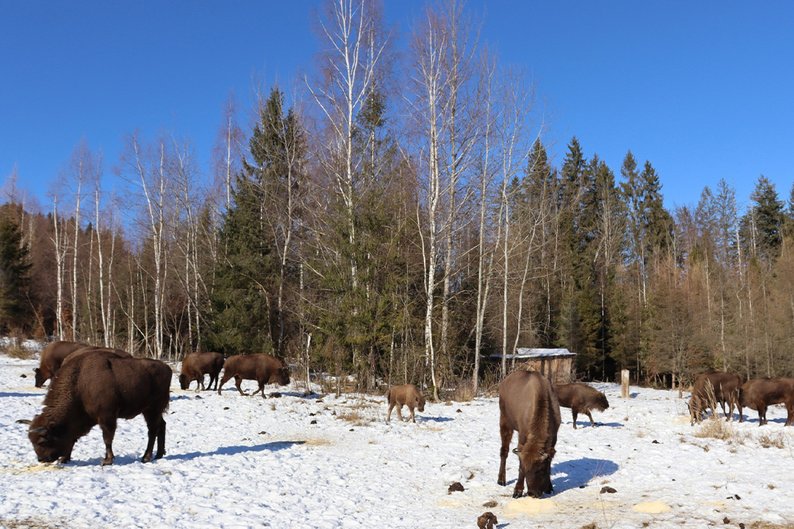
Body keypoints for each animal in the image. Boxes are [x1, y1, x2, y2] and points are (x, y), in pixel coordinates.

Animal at [28, 349, 171, 465]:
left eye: (42, 442)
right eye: (31, 441)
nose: (41, 459)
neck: (79, 384)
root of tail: (167, 368)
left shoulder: (106, 417)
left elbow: (107, 438)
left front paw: (107, 460)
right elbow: (73, 439)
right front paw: (64, 459)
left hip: (152, 410)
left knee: (152, 431)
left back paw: (146, 457)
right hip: (152, 411)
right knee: (162, 425)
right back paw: (159, 454)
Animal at [498, 370, 561, 498]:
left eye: (540, 469)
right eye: (526, 469)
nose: (532, 493)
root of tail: (505, 382)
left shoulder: (553, 440)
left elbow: (550, 462)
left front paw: (549, 487)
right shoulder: (522, 438)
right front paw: (517, 491)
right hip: (505, 423)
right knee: (504, 451)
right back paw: (501, 480)